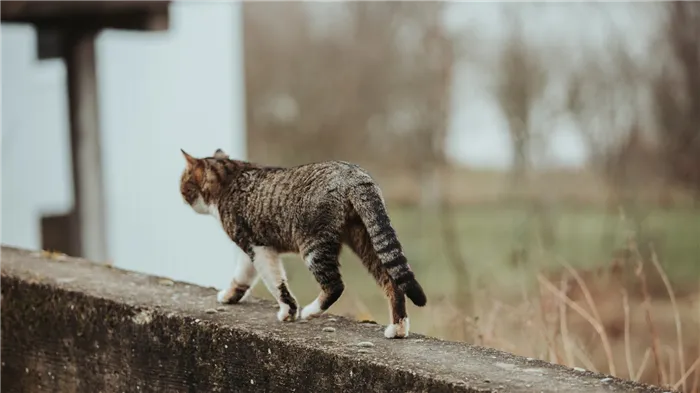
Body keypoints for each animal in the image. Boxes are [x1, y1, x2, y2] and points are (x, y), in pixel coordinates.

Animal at [179, 147, 426, 336]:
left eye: (183, 183)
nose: (181, 196)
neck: (231, 177)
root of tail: (354, 174)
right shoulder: (251, 247)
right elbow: (242, 275)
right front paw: (231, 296)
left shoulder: (258, 247)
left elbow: (276, 283)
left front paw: (288, 312)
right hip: (366, 237)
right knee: (392, 281)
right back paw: (398, 328)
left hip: (313, 246)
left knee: (335, 285)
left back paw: (310, 311)